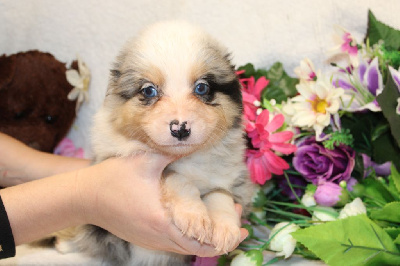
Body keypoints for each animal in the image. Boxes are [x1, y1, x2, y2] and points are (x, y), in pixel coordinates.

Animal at [55, 21, 255, 266]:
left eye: (202, 88)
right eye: (149, 90)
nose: (180, 129)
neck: (188, 157)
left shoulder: (233, 177)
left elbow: (220, 194)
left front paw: (224, 228)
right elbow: (174, 175)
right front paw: (193, 216)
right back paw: (65, 243)